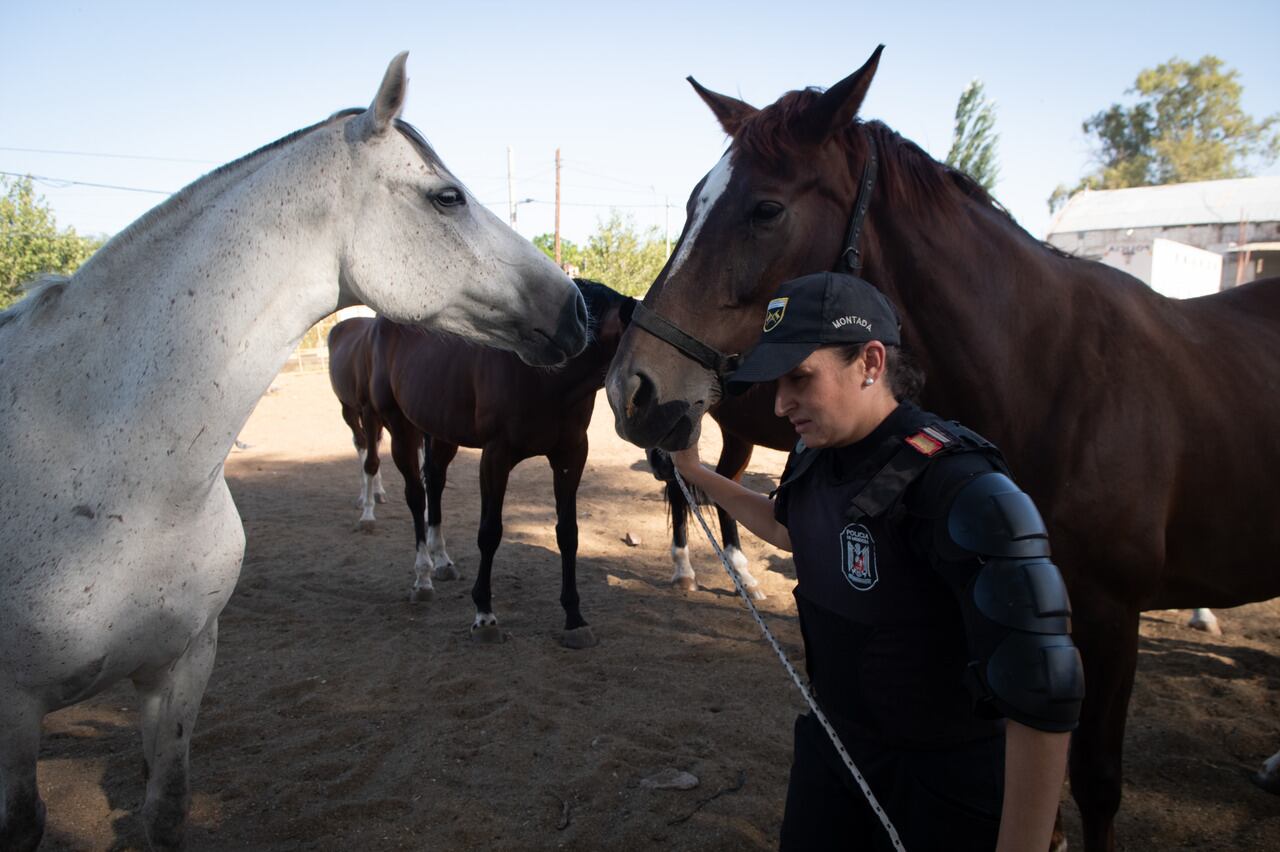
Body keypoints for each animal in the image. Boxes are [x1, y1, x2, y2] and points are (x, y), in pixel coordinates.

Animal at [327, 313, 386, 524]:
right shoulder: (369, 413)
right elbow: (370, 462)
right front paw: (368, 515)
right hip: (350, 409)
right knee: (361, 444)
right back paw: (363, 498)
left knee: (373, 442)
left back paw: (379, 492)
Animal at [368, 278, 632, 644]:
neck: (545, 376)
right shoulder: (496, 456)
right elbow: (490, 532)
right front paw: (484, 614)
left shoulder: (571, 455)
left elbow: (568, 533)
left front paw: (574, 618)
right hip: (400, 428)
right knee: (416, 496)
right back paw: (422, 578)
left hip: (441, 430)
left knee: (434, 483)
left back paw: (442, 562)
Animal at [601, 46, 1280, 849]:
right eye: (689, 206)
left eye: (766, 209)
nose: (630, 389)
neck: (1056, 376)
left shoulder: (1108, 617)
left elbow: (1093, 783)